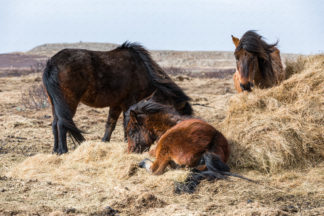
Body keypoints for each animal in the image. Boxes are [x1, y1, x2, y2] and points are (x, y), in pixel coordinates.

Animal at [41, 41, 191, 154]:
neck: (143, 70)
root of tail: (52, 63)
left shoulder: (116, 104)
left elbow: (110, 124)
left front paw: (104, 142)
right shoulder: (129, 102)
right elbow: (126, 122)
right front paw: (126, 141)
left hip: (54, 103)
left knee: (55, 123)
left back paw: (55, 151)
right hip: (68, 102)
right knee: (62, 124)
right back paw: (63, 151)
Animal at [126, 99, 256, 192]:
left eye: (131, 132)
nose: (130, 151)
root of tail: (209, 147)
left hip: (165, 149)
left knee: (155, 170)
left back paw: (143, 163)